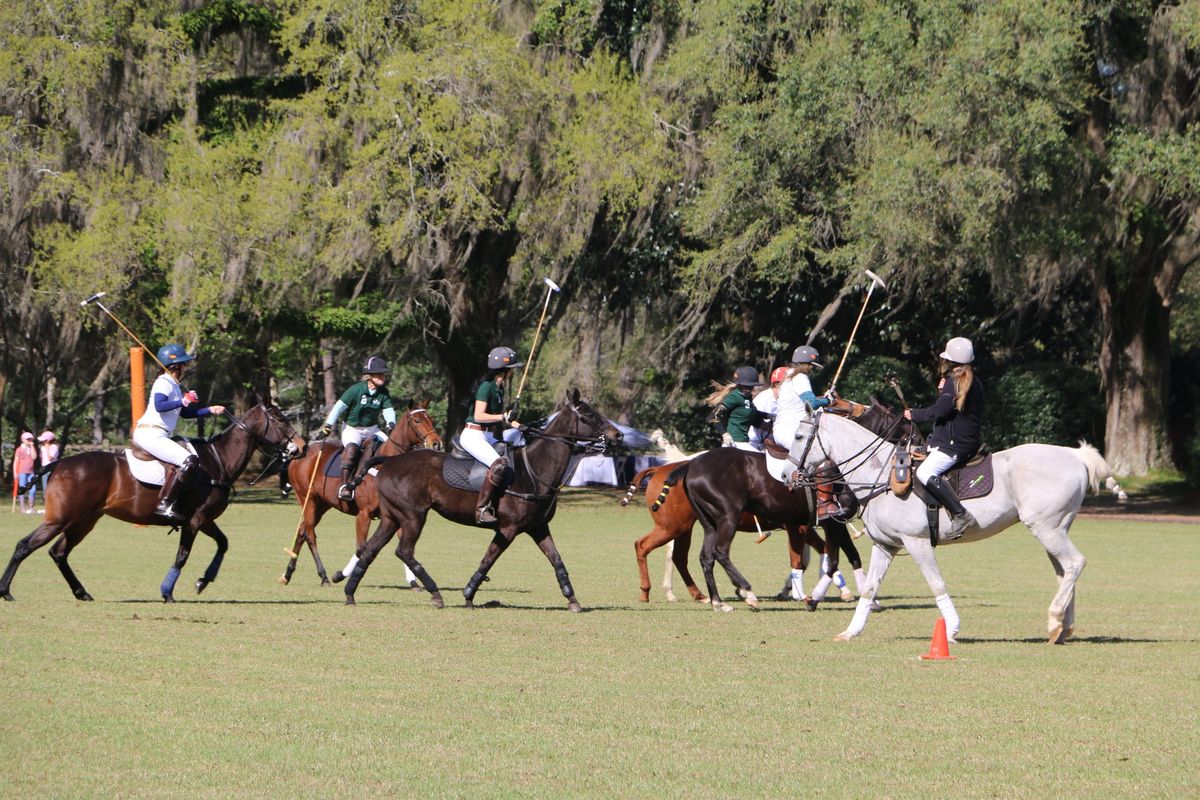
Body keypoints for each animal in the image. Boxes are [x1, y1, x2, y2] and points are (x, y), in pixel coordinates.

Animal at [1, 402, 300, 604]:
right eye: (280, 419)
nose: (300, 446)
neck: (219, 461)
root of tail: (59, 463)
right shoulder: (195, 520)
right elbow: (182, 555)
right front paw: (167, 592)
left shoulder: (204, 519)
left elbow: (223, 544)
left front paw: (203, 581)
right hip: (60, 518)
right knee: (25, 545)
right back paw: (6, 591)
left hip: (85, 520)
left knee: (58, 552)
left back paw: (81, 592)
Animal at [278, 402, 444, 585]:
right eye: (417, 420)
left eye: (431, 419)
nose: (436, 444)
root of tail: (299, 455)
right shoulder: (364, 514)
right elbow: (362, 548)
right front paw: (340, 575)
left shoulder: (398, 514)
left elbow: (403, 546)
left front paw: (413, 582)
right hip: (307, 499)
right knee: (309, 534)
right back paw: (324, 576)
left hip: (321, 504)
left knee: (302, 531)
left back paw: (287, 574)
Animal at [338, 393, 619, 614]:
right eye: (589, 415)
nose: (617, 435)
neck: (535, 471)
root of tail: (388, 461)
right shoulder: (508, 529)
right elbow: (488, 560)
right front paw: (469, 594)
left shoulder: (538, 527)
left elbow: (557, 560)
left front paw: (572, 599)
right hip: (413, 515)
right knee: (403, 551)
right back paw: (435, 593)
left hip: (391, 517)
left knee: (371, 549)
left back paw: (350, 593)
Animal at [619, 460, 825, 604]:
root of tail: (659, 469)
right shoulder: (796, 526)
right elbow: (799, 560)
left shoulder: (803, 527)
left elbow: (818, 551)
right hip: (672, 526)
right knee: (642, 545)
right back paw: (646, 592)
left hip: (684, 527)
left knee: (678, 557)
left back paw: (699, 594)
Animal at [796, 412, 1113, 642]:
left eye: (799, 435)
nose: (791, 475)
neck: (880, 475)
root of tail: (1075, 455)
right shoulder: (885, 545)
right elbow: (870, 588)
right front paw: (851, 631)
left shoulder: (917, 542)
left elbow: (936, 583)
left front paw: (950, 630)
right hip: (1055, 528)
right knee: (1064, 571)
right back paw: (1062, 628)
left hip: (1046, 527)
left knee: (1075, 563)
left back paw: (1055, 619)